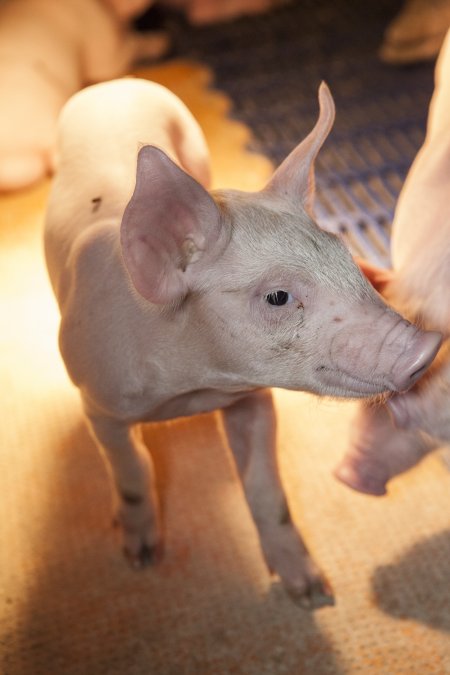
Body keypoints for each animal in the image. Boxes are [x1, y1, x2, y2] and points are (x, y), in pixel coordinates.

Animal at [44, 76, 442, 608]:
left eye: (347, 258)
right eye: (277, 296)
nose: (428, 345)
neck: (191, 391)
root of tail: (112, 83)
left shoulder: (251, 400)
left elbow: (265, 488)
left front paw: (313, 595)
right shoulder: (98, 401)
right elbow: (130, 471)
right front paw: (141, 560)